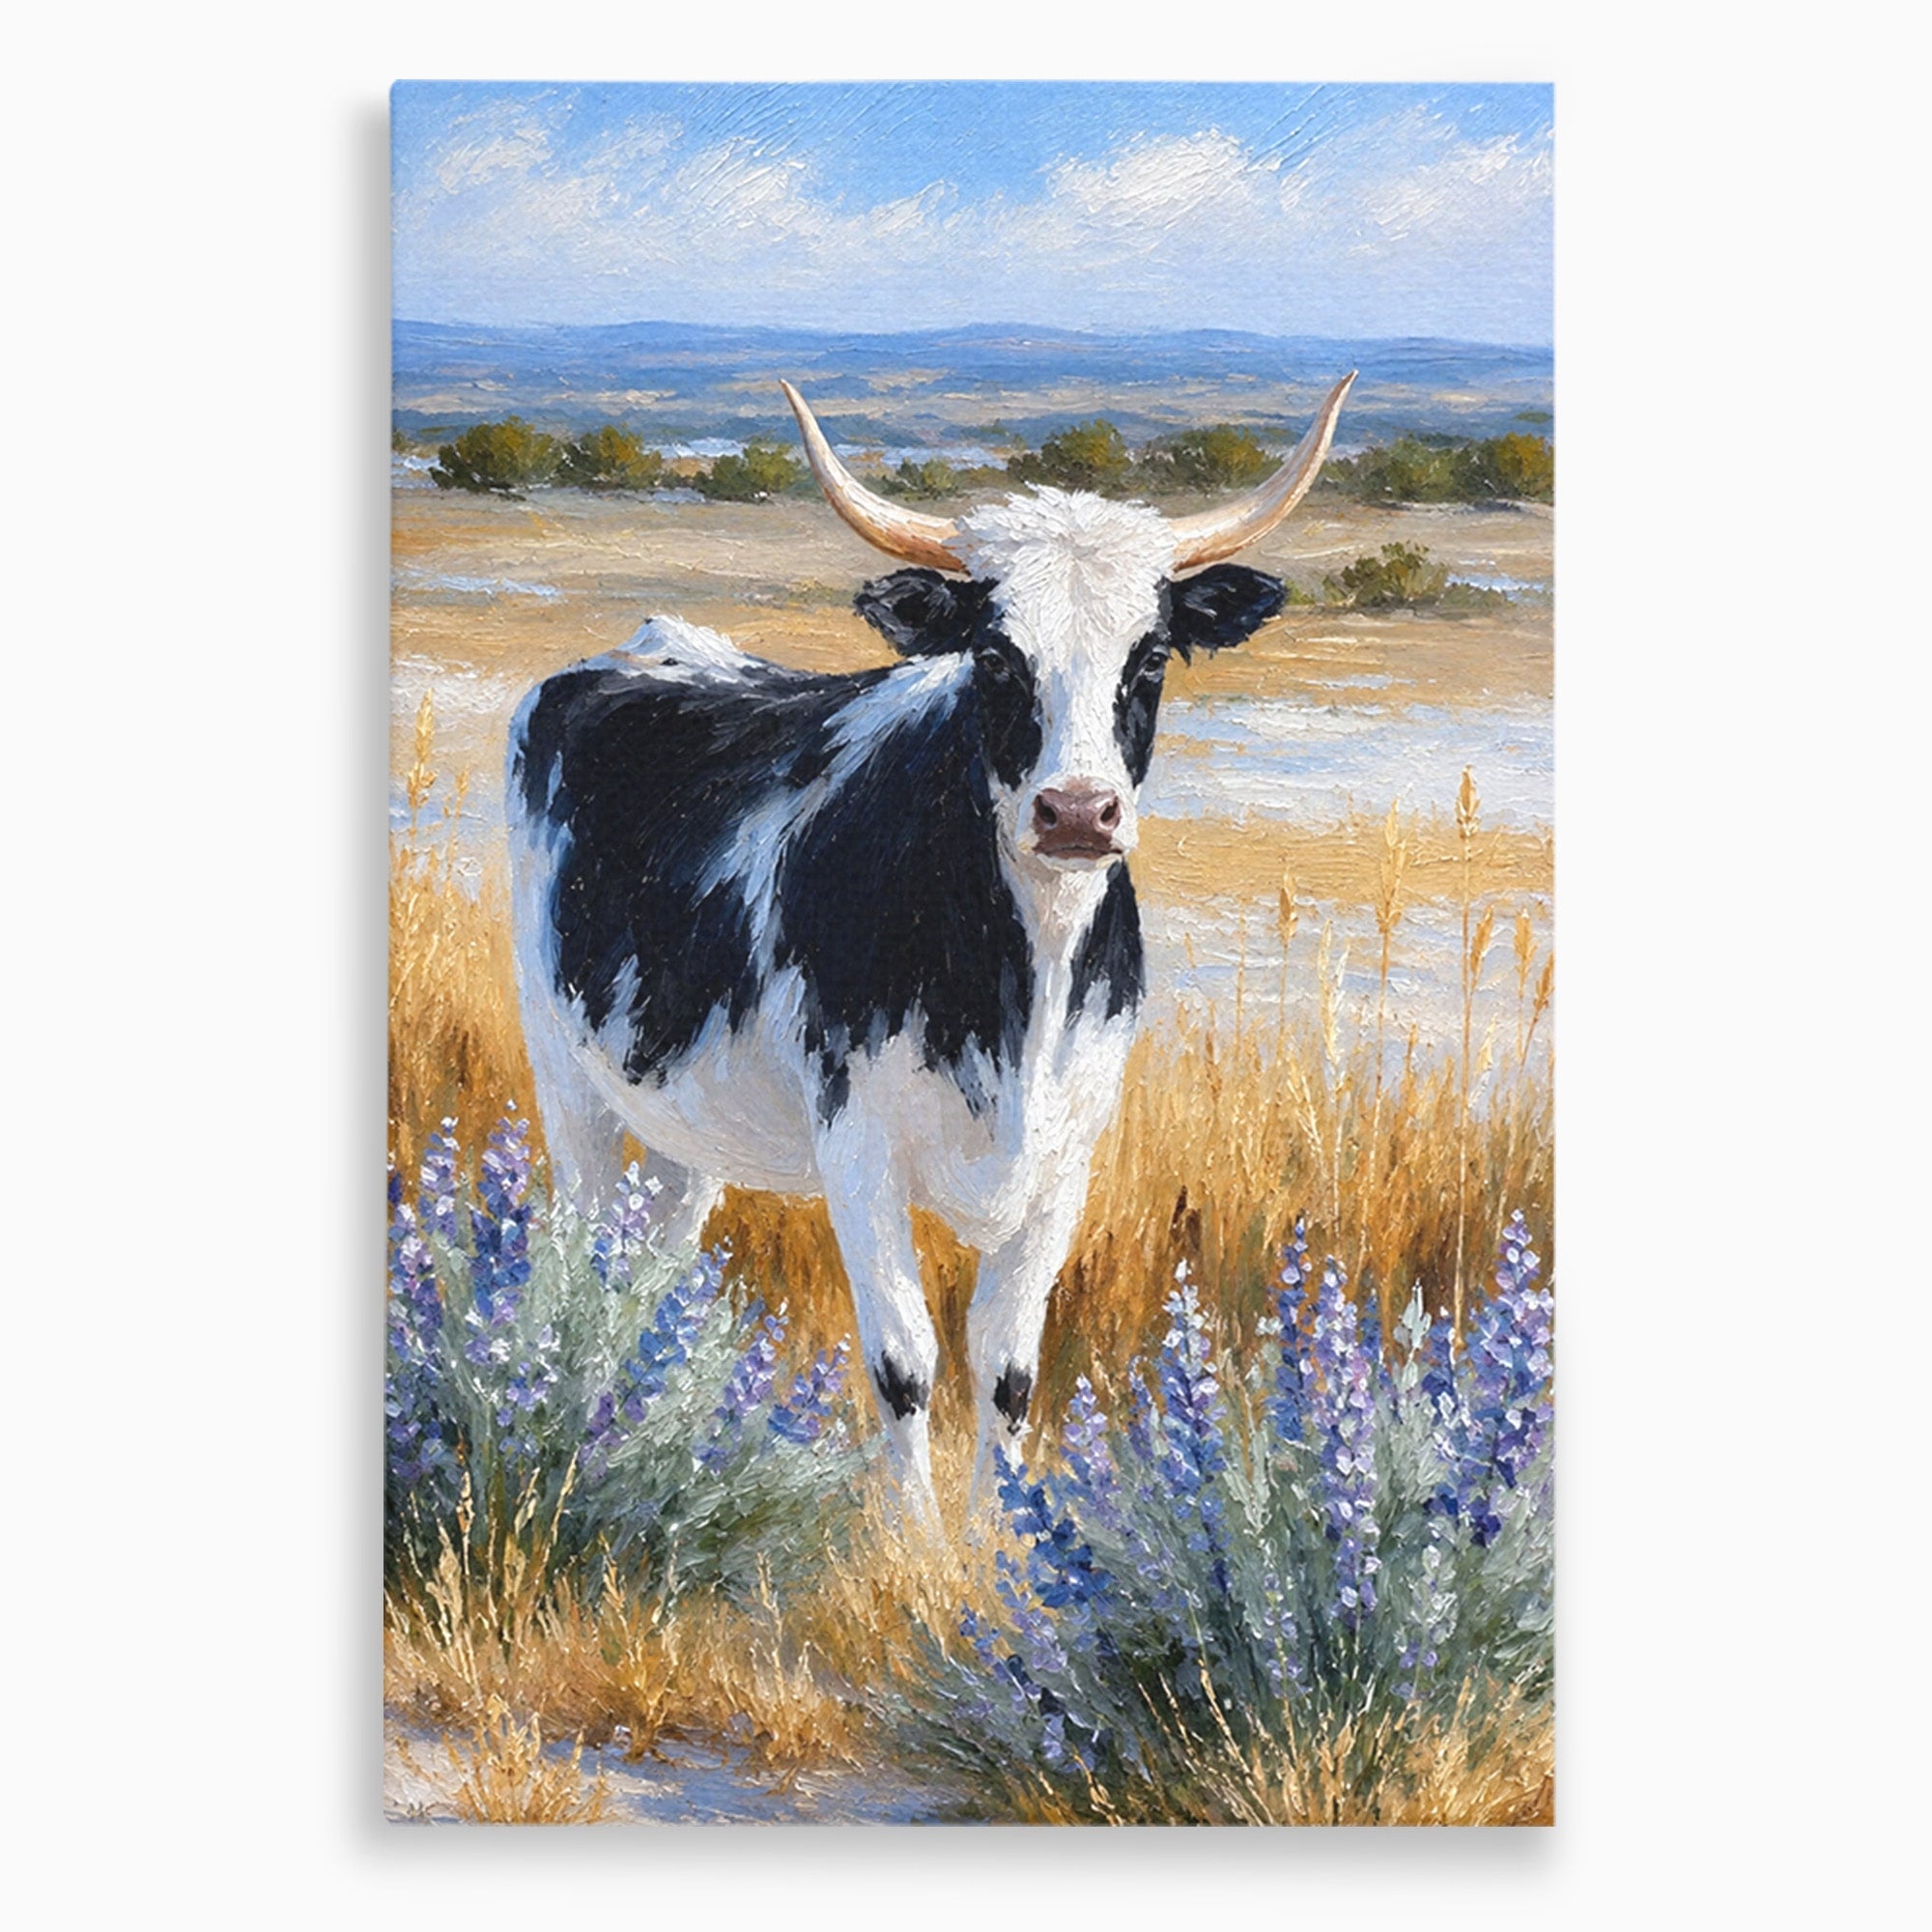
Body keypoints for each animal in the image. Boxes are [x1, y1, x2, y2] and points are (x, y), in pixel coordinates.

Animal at [507, 372, 1355, 1528]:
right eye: (993, 657)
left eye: (1149, 657)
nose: (1077, 812)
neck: (1019, 990)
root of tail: (646, 642)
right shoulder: (856, 1145)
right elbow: (904, 1359)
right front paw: (913, 1539)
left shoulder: (1068, 1157)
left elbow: (1007, 1368)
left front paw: (1001, 1535)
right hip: (568, 1078)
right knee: (578, 1257)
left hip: (684, 1123)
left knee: (651, 1270)